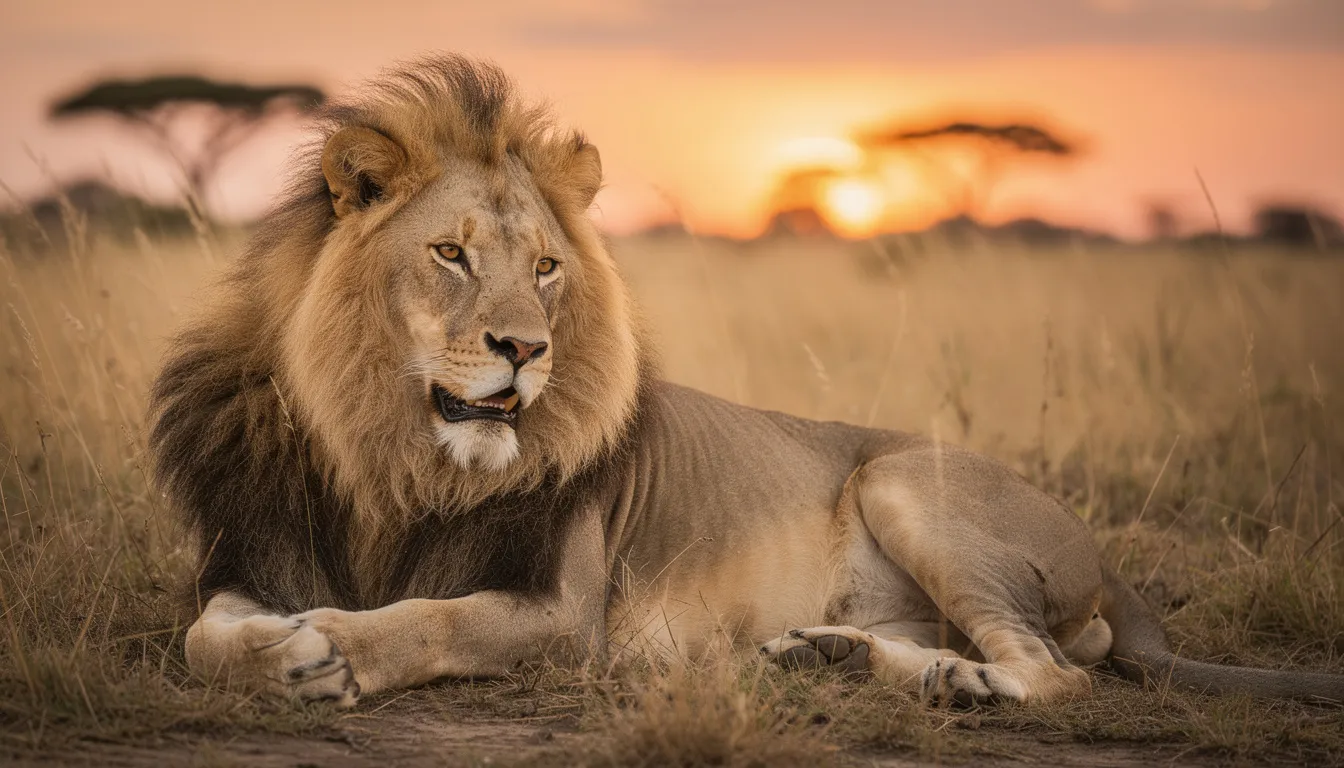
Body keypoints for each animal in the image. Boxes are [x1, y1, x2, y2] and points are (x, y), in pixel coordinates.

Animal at [150, 55, 1343, 709]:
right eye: (450, 255)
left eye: (546, 268)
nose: (525, 350)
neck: (389, 456)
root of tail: (1113, 564)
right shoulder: (251, 549)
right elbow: (203, 637)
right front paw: (271, 649)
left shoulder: (566, 618)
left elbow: (428, 620)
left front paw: (333, 648)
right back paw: (850, 659)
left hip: (904, 480)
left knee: (1060, 671)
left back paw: (967, 685)